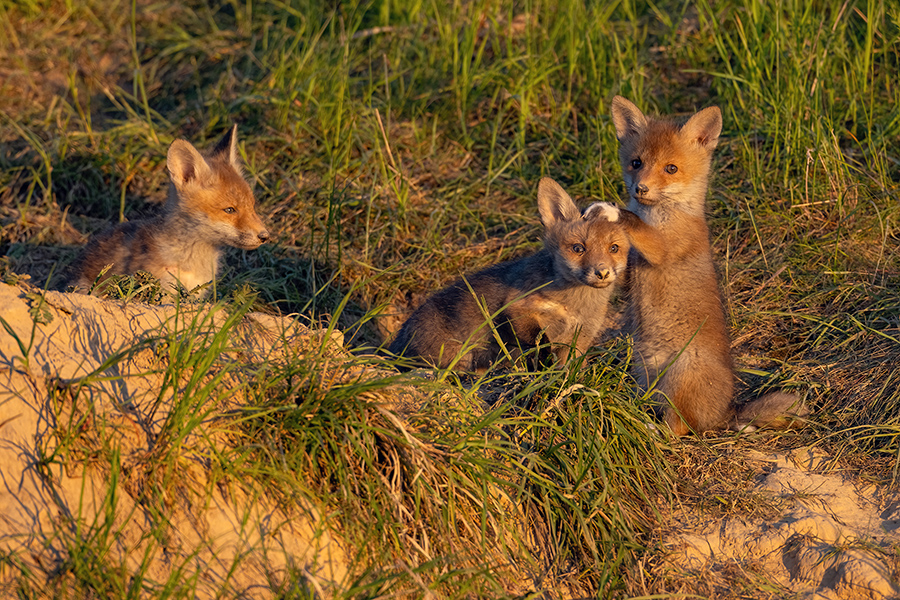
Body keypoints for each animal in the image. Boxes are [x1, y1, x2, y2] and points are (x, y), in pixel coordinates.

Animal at [389, 177, 629, 371]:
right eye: (578, 248)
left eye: (614, 248)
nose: (602, 272)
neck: (575, 308)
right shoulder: (518, 309)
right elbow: (540, 344)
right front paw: (543, 370)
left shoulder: (581, 335)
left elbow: (571, 366)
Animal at [588, 96, 808, 435]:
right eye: (636, 163)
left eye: (671, 168)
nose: (641, 189)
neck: (664, 216)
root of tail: (725, 411)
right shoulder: (632, 270)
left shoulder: (664, 250)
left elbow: (634, 222)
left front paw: (612, 211)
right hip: (646, 376)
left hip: (679, 379)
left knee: (678, 430)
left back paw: (648, 429)